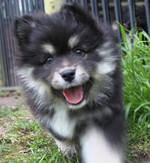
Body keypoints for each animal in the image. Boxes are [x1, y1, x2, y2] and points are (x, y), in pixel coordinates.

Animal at [14, 2, 125, 163]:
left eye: (78, 51)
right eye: (48, 59)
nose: (67, 74)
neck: (71, 108)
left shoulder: (103, 114)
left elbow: (101, 146)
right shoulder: (48, 115)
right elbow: (60, 134)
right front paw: (67, 151)